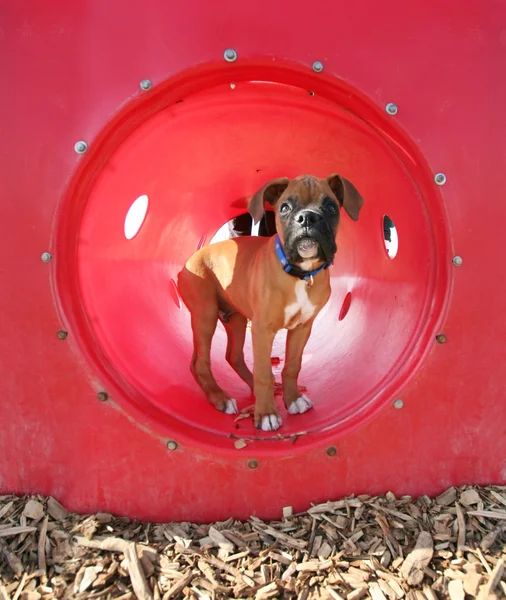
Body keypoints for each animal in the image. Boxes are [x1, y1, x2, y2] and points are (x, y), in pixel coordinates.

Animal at [178, 173, 364, 432]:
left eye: (330, 207)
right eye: (284, 208)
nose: (307, 217)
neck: (299, 275)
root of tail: (189, 261)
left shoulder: (302, 328)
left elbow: (292, 366)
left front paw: (292, 399)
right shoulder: (262, 329)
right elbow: (264, 371)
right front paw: (266, 414)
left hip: (236, 319)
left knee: (233, 356)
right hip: (205, 314)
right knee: (201, 363)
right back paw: (220, 398)